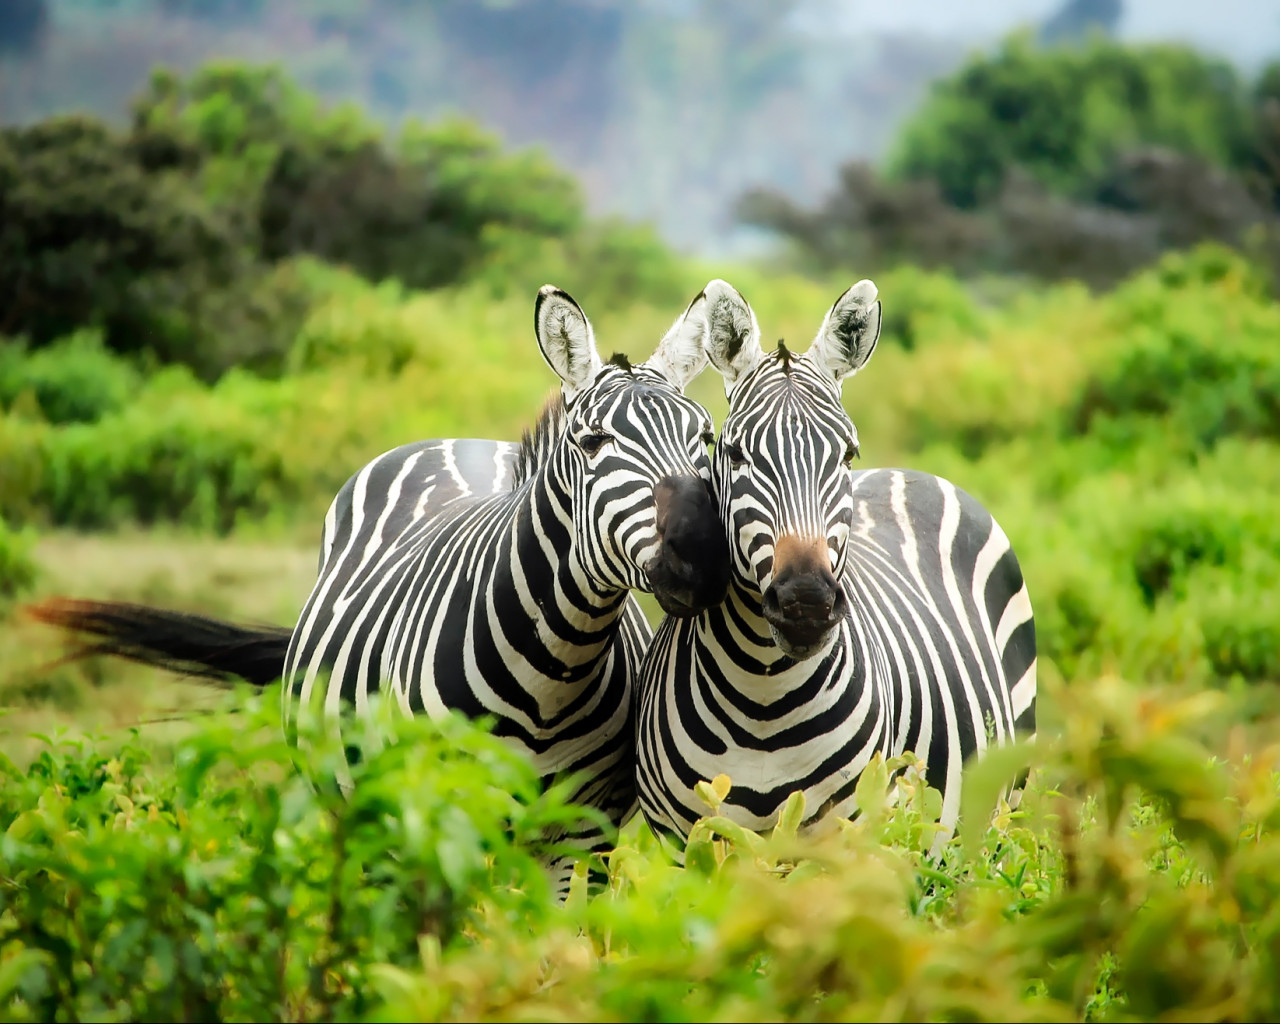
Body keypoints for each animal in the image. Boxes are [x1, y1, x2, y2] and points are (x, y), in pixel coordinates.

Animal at [29, 282, 734, 892]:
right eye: (593, 443)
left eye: (705, 437)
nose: (702, 556)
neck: (551, 673)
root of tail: (457, 439)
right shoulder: (431, 818)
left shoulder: (580, 836)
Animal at [635, 279, 1037, 857]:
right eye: (734, 454)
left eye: (847, 455)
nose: (806, 603)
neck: (762, 698)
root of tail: (908, 471)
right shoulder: (685, 844)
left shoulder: (849, 842)